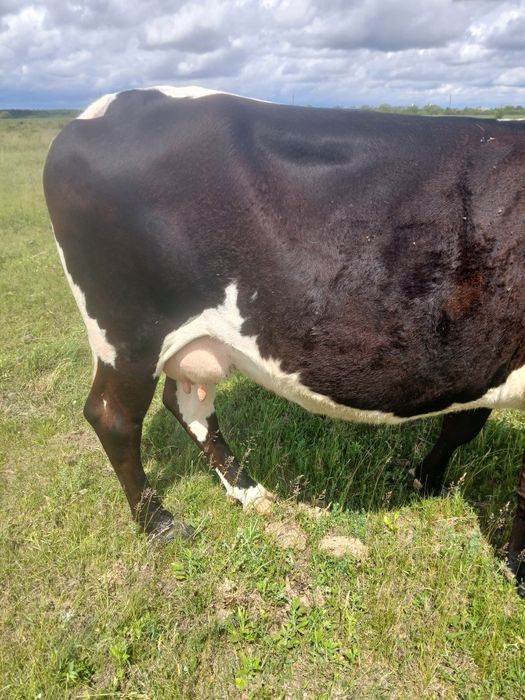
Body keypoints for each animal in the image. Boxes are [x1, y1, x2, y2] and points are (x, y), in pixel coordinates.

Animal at [43, 86, 525, 595]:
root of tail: (111, 106)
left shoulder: (479, 358)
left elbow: (463, 423)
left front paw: (427, 479)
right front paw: (518, 569)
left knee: (187, 404)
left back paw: (249, 491)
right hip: (128, 335)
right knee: (113, 417)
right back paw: (159, 523)